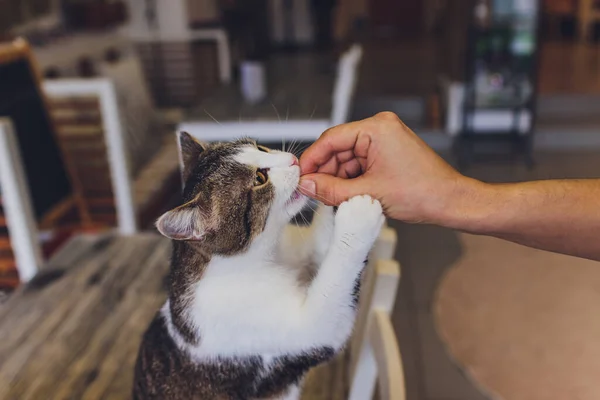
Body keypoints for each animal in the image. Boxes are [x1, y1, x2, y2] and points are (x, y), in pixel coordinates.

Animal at [132, 133, 384, 398]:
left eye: (261, 148)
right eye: (259, 179)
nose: (293, 160)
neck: (266, 256)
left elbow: (320, 244)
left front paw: (340, 165)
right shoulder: (308, 332)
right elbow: (330, 300)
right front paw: (359, 217)